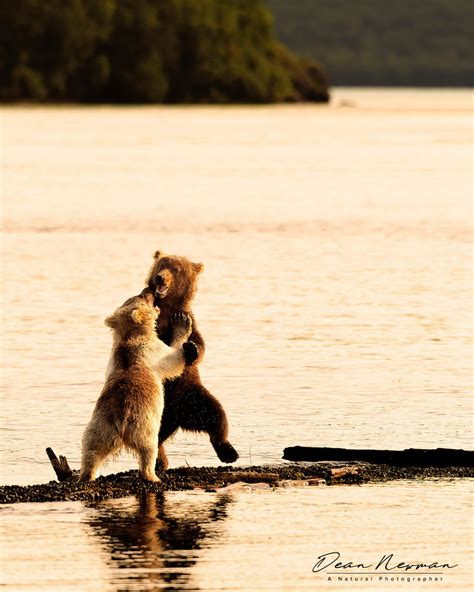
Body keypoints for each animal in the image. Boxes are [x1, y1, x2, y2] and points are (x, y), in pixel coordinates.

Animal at [144, 251, 239, 472]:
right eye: (162, 264)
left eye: (177, 269)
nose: (160, 278)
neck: (167, 308)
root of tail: (177, 419)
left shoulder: (190, 319)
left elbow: (200, 344)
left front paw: (192, 348)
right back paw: (160, 461)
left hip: (191, 396)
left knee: (216, 416)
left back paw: (228, 452)